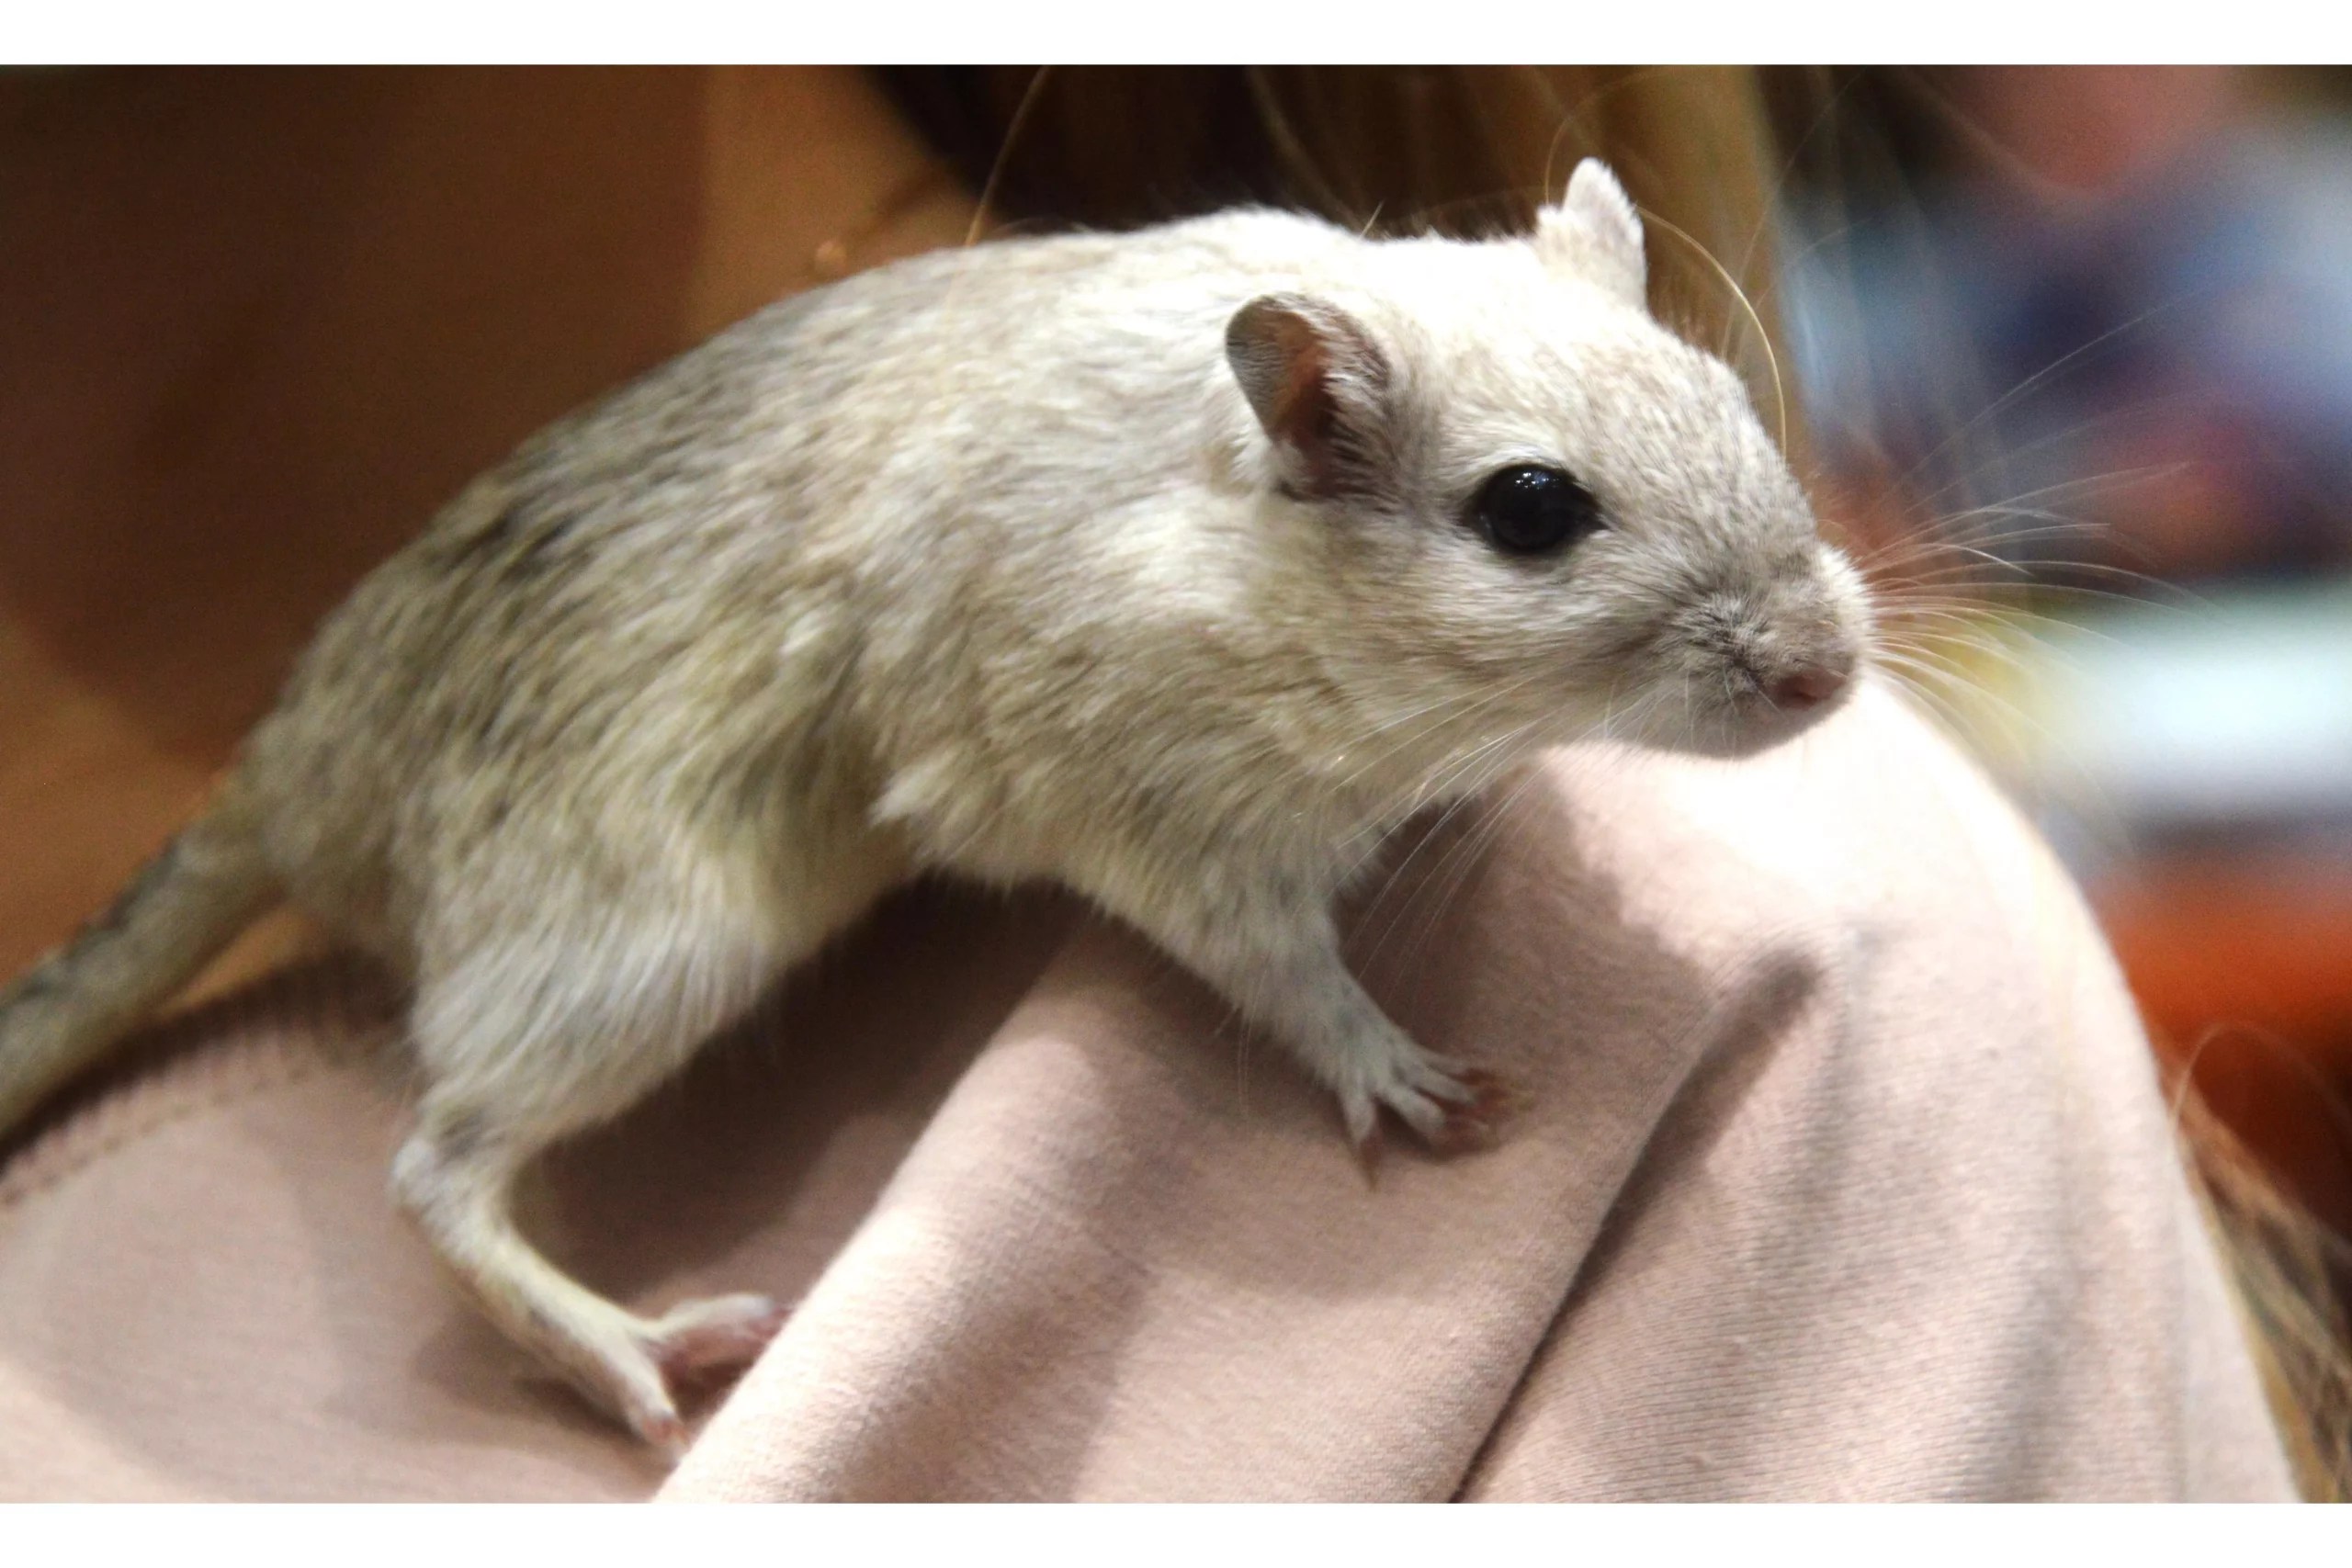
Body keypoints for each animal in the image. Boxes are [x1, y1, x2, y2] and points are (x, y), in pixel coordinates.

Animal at [0, 161, 1870, 1450]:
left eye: (1726, 395)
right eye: (1532, 511)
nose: (1832, 670)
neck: (1252, 550)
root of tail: (278, 770)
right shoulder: (1152, 810)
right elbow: (1282, 971)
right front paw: (1409, 1080)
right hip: (642, 937)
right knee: (428, 1166)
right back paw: (641, 1352)